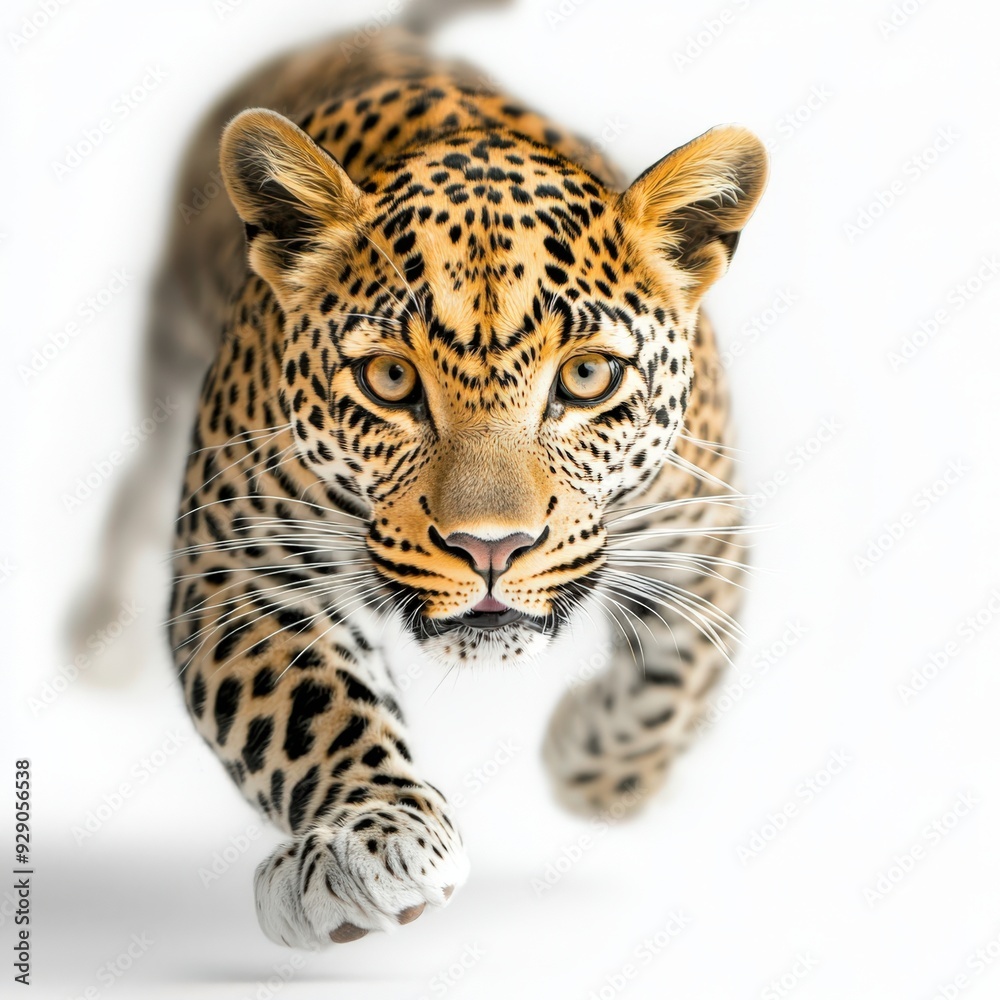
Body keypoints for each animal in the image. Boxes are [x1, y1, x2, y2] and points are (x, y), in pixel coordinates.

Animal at [96, 0, 768, 949]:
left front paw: (595, 772)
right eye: (389, 379)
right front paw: (368, 841)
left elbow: (682, 671)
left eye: (587, 377)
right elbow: (306, 711)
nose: (493, 548)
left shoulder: (706, 528)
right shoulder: (242, 572)